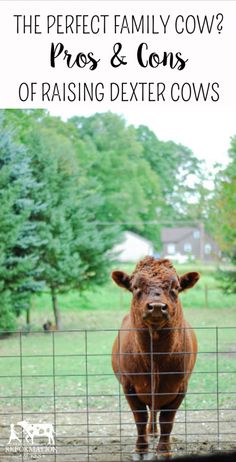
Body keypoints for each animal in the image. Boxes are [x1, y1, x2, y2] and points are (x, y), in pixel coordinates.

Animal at [111, 258, 200, 460]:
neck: (155, 359)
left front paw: (164, 450)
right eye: (136, 287)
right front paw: (141, 450)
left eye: (175, 287)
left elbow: (167, 420)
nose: (157, 307)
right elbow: (140, 418)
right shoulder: (129, 386)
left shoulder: (180, 387)